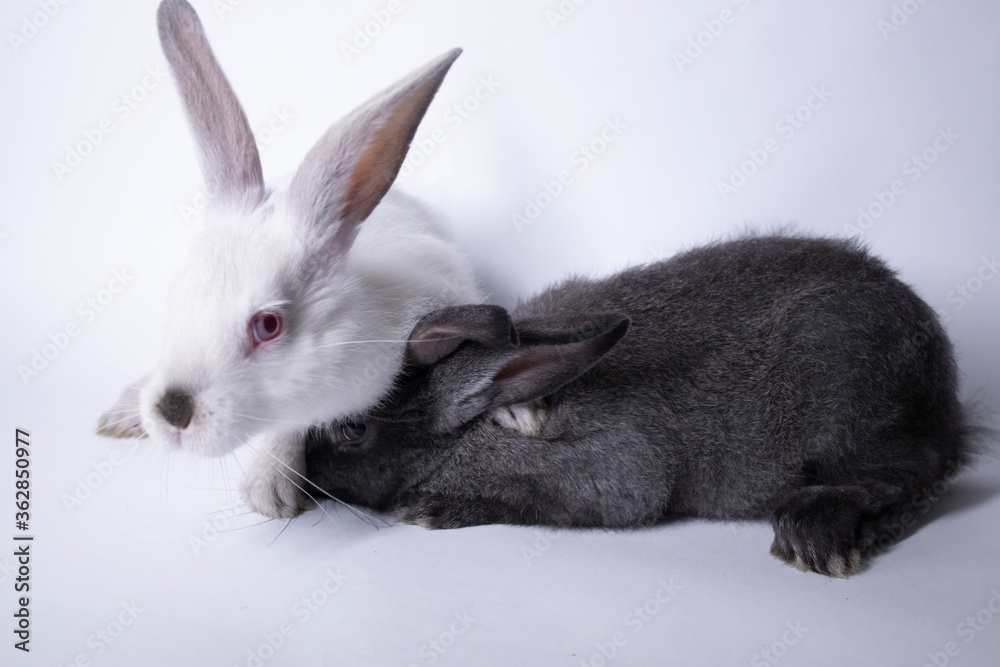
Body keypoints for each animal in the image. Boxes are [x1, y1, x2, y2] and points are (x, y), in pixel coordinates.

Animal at [304, 235, 971, 577]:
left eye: (352, 430)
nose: (304, 469)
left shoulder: (615, 464)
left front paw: (431, 509)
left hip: (851, 411)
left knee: (918, 474)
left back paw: (819, 537)